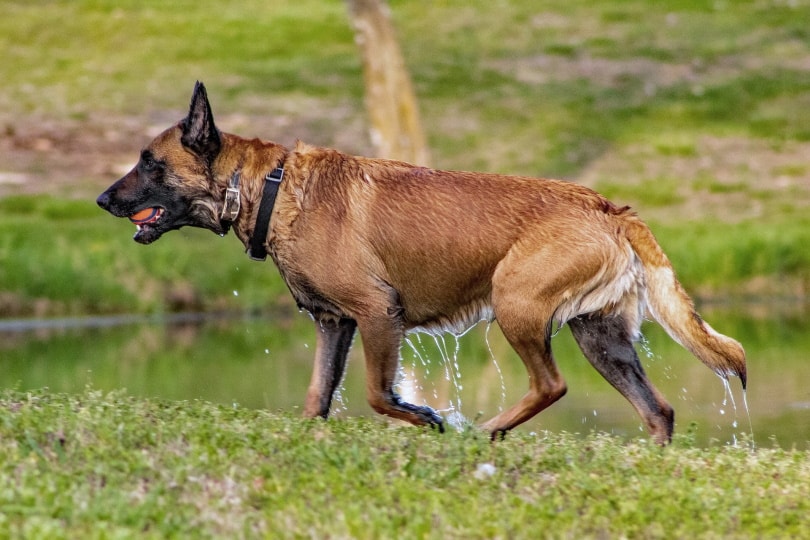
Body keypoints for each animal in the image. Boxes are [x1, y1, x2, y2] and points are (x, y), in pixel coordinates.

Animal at [96, 81, 744, 442]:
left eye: (149, 162)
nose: (102, 200)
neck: (270, 187)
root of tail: (609, 207)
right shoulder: (335, 325)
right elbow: (316, 399)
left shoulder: (377, 316)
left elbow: (379, 395)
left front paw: (429, 418)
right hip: (601, 337)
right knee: (658, 411)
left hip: (516, 304)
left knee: (552, 385)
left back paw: (484, 431)